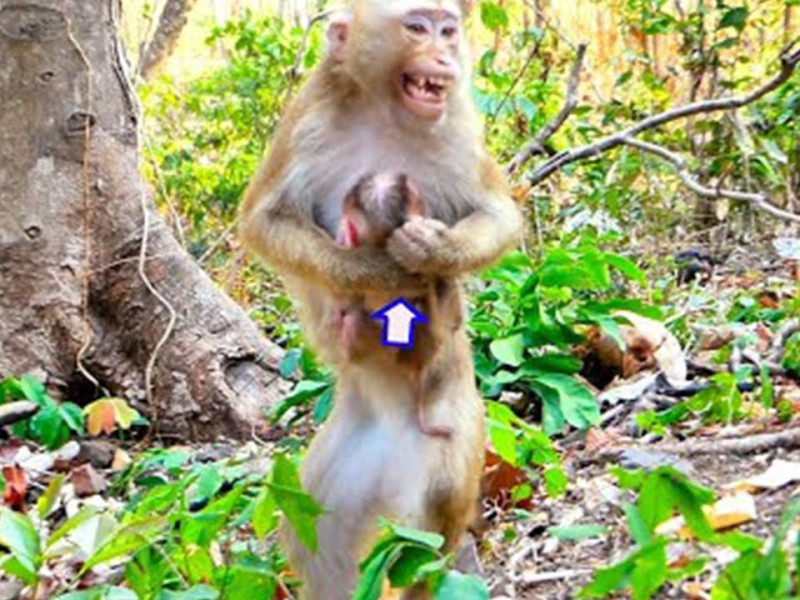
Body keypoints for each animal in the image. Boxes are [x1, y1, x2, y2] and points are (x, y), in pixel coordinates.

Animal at [240, 1, 523, 598]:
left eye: (448, 29)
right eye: (417, 28)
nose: (442, 55)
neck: (387, 108)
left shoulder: (460, 123)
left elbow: (500, 215)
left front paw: (432, 249)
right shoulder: (311, 112)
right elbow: (264, 220)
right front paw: (370, 267)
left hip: (452, 440)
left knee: (426, 540)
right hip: (344, 468)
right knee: (314, 542)